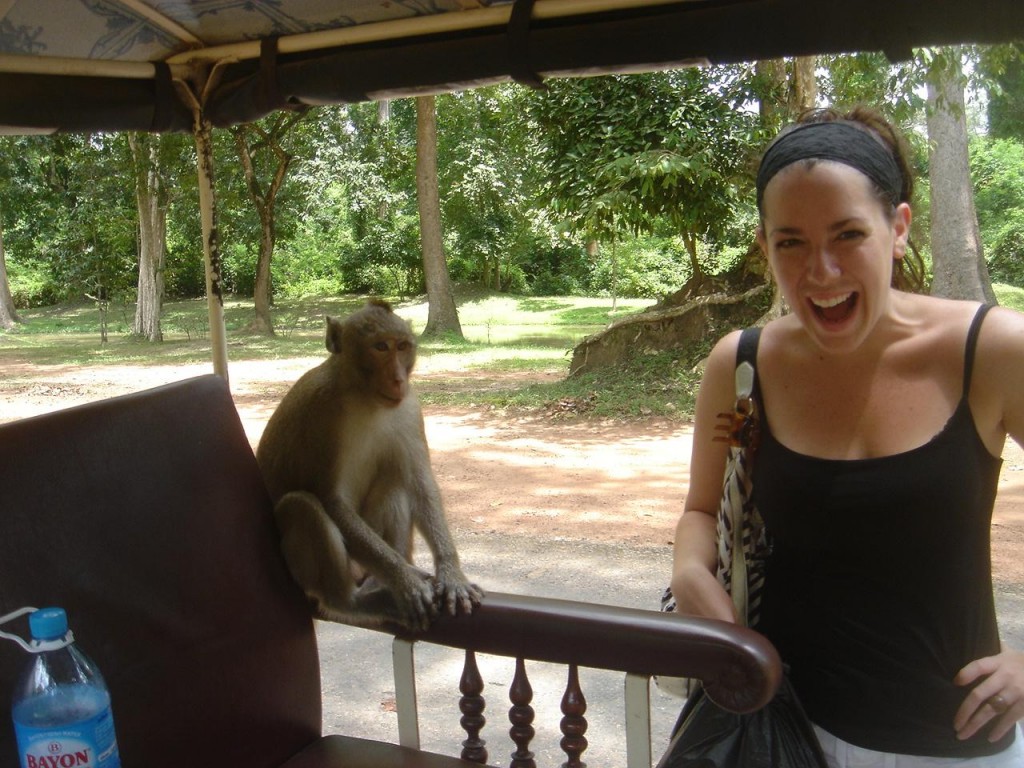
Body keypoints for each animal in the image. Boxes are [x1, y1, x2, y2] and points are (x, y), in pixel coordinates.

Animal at [253, 301, 481, 630]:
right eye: (380, 347)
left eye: (402, 346)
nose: (398, 379)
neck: (364, 397)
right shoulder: (321, 414)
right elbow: (332, 501)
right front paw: (405, 581)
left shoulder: (409, 408)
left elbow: (419, 483)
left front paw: (451, 576)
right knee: (300, 505)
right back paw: (350, 601)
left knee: (395, 484)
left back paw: (378, 579)